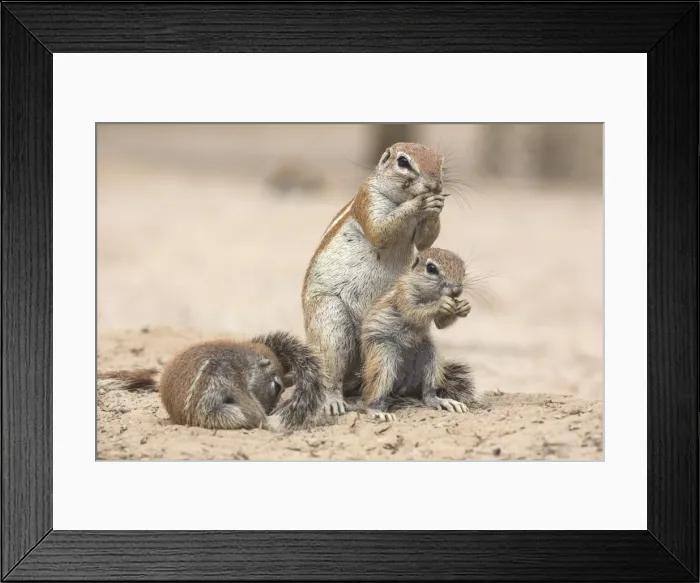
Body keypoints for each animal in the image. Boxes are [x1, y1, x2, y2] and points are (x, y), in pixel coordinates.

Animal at [97, 331, 330, 432]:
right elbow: (247, 401)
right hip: (216, 414)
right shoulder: (231, 376)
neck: (245, 359)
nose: (270, 410)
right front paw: (265, 420)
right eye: (277, 386)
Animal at [302, 142, 449, 417]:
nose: (435, 185)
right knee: (331, 373)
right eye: (403, 162)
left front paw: (436, 205)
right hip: (331, 321)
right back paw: (333, 401)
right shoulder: (368, 200)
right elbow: (381, 230)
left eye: (440, 163)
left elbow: (426, 240)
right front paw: (421, 202)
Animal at [358, 247, 481, 422]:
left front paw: (464, 306)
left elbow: (441, 324)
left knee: (428, 393)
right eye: (431, 268)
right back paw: (376, 411)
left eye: (463, 269)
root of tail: (402, 386)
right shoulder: (404, 295)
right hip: (383, 357)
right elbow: (413, 313)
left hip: (430, 356)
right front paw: (440, 304)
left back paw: (443, 401)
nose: (457, 290)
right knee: (372, 393)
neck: (429, 294)